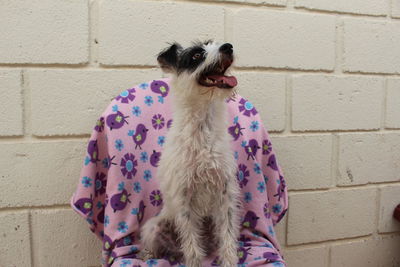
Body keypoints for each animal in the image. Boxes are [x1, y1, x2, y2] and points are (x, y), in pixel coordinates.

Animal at [141, 40, 241, 267]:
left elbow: (228, 235)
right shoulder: (183, 198)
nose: (228, 46)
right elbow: (192, 245)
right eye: (196, 55)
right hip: (154, 227)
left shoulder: (225, 195)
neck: (203, 131)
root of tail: (173, 252)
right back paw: (149, 256)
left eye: (214, 43)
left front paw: (229, 261)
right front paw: (195, 262)